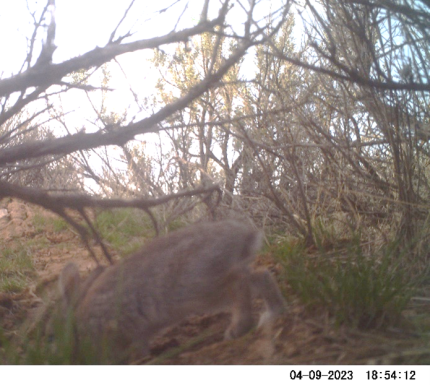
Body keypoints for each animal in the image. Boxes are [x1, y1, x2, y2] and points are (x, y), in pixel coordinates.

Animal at [57, 219, 286, 360]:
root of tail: (244, 235)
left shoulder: (120, 332)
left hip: (202, 286)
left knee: (241, 284)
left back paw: (237, 329)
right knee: (260, 275)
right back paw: (273, 314)